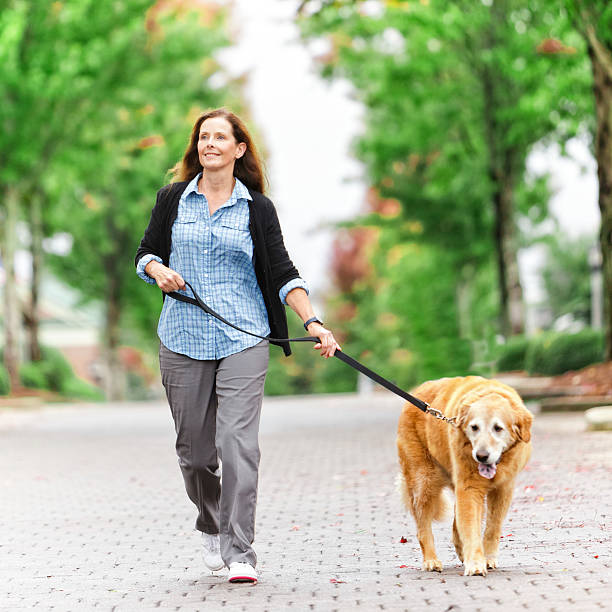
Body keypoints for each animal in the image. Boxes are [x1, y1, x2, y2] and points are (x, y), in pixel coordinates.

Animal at [396, 376, 532, 576]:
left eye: (498, 428)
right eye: (474, 427)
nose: (481, 456)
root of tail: (418, 391)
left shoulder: (503, 489)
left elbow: (492, 528)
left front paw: (487, 558)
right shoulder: (470, 488)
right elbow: (470, 528)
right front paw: (475, 563)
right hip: (423, 483)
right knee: (424, 528)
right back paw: (431, 560)